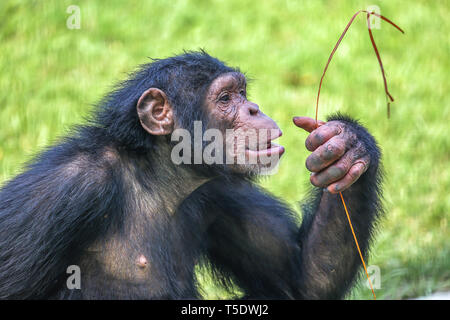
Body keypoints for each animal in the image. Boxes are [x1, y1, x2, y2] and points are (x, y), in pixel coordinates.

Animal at [0, 51, 384, 298]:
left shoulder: (219, 190)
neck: (156, 178)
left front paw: (348, 144)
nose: (253, 108)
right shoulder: (67, 190)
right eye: (226, 98)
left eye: (243, 93)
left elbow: (304, 279)